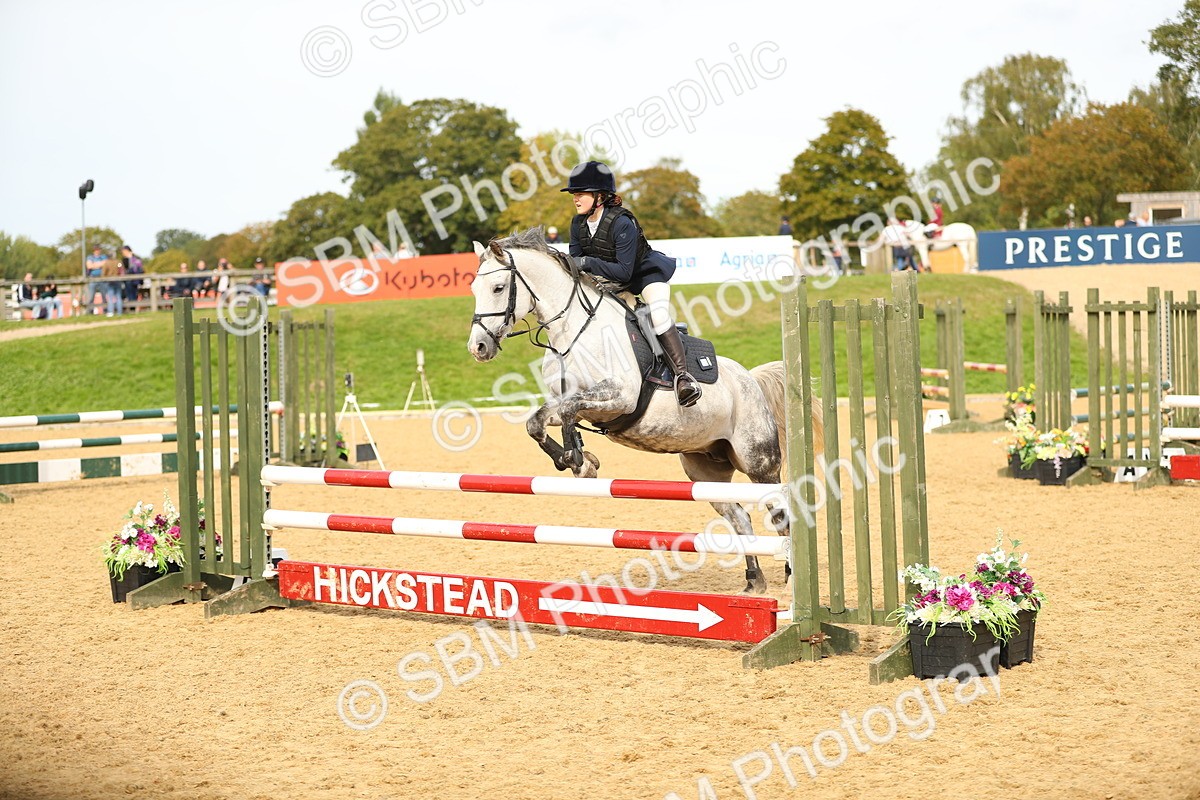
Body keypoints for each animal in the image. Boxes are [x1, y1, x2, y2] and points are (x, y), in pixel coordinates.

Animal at [466, 228, 823, 594]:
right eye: (474, 289)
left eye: (497, 288)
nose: (478, 348)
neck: (573, 333)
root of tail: (751, 379)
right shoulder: (568, 401)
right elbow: (537, 422)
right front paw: (578, 460)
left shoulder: (619, 398)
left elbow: (569, 409)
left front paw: (579, 460)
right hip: (705, 470)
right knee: (739, 516)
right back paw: (754, 581)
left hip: (758, 463)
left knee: (781, 515)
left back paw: (791, 577)